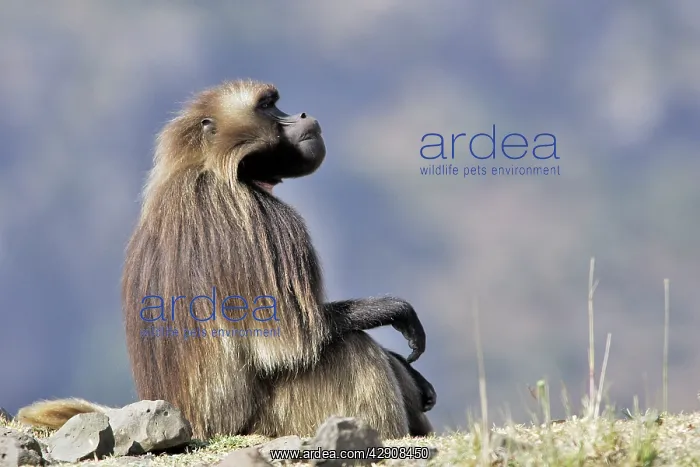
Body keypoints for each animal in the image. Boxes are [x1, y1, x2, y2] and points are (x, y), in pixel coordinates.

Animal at [17, 79, 436, 440]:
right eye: (267, 106)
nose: (302, 115)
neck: (205, 166)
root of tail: (192, 423)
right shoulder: (262, 220)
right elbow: (294, 338)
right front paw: (394, 311)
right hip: (271, 422)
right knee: (349, 347)